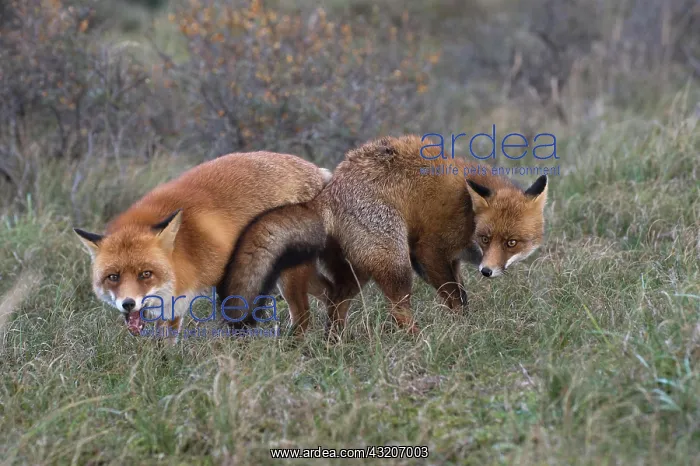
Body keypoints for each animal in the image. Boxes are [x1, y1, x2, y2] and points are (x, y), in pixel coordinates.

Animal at [73, 152, 332, 340]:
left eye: (145, 274)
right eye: (113, 277)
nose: (128, 304)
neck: (183, 248)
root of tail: (319, 172)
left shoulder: (191, 292)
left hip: (287, 277)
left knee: (304, 315)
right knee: (331, 291)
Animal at [219, 134, 548, 335]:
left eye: (512, 242)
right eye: (485, 239)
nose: (486, 271)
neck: (468, 213)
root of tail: (327, 191)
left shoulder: (445, 260)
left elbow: (460, 295)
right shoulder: (429, 250)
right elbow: (454, 297)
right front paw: (461, 331)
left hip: (359, 269)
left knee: (335, 300)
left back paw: (335, 343)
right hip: (394, 263)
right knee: (397, 310)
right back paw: (418, 341)